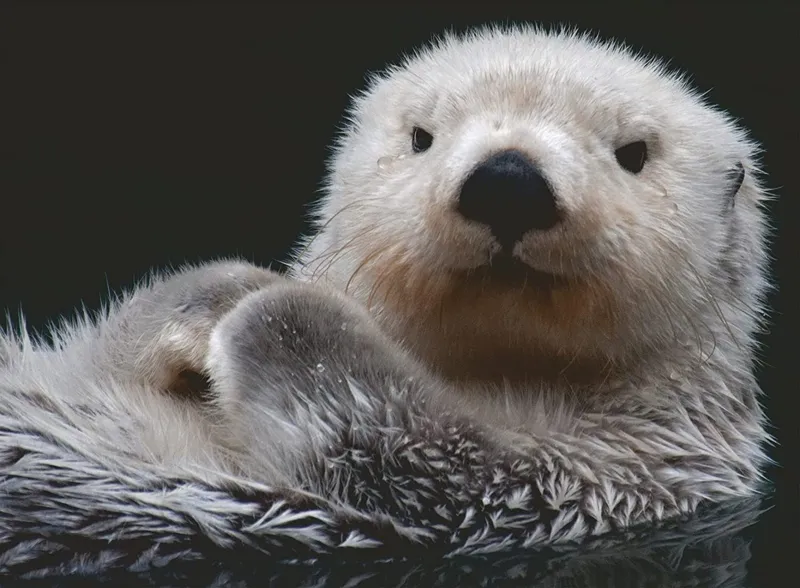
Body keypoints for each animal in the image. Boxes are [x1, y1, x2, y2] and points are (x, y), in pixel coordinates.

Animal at [0, 25, 772, 576]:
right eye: (421, 137)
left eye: (634, 152)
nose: (508, 181)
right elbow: (102, 350)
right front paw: (220, 293)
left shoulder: (602, 477)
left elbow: (410, 445)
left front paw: (271, 308)